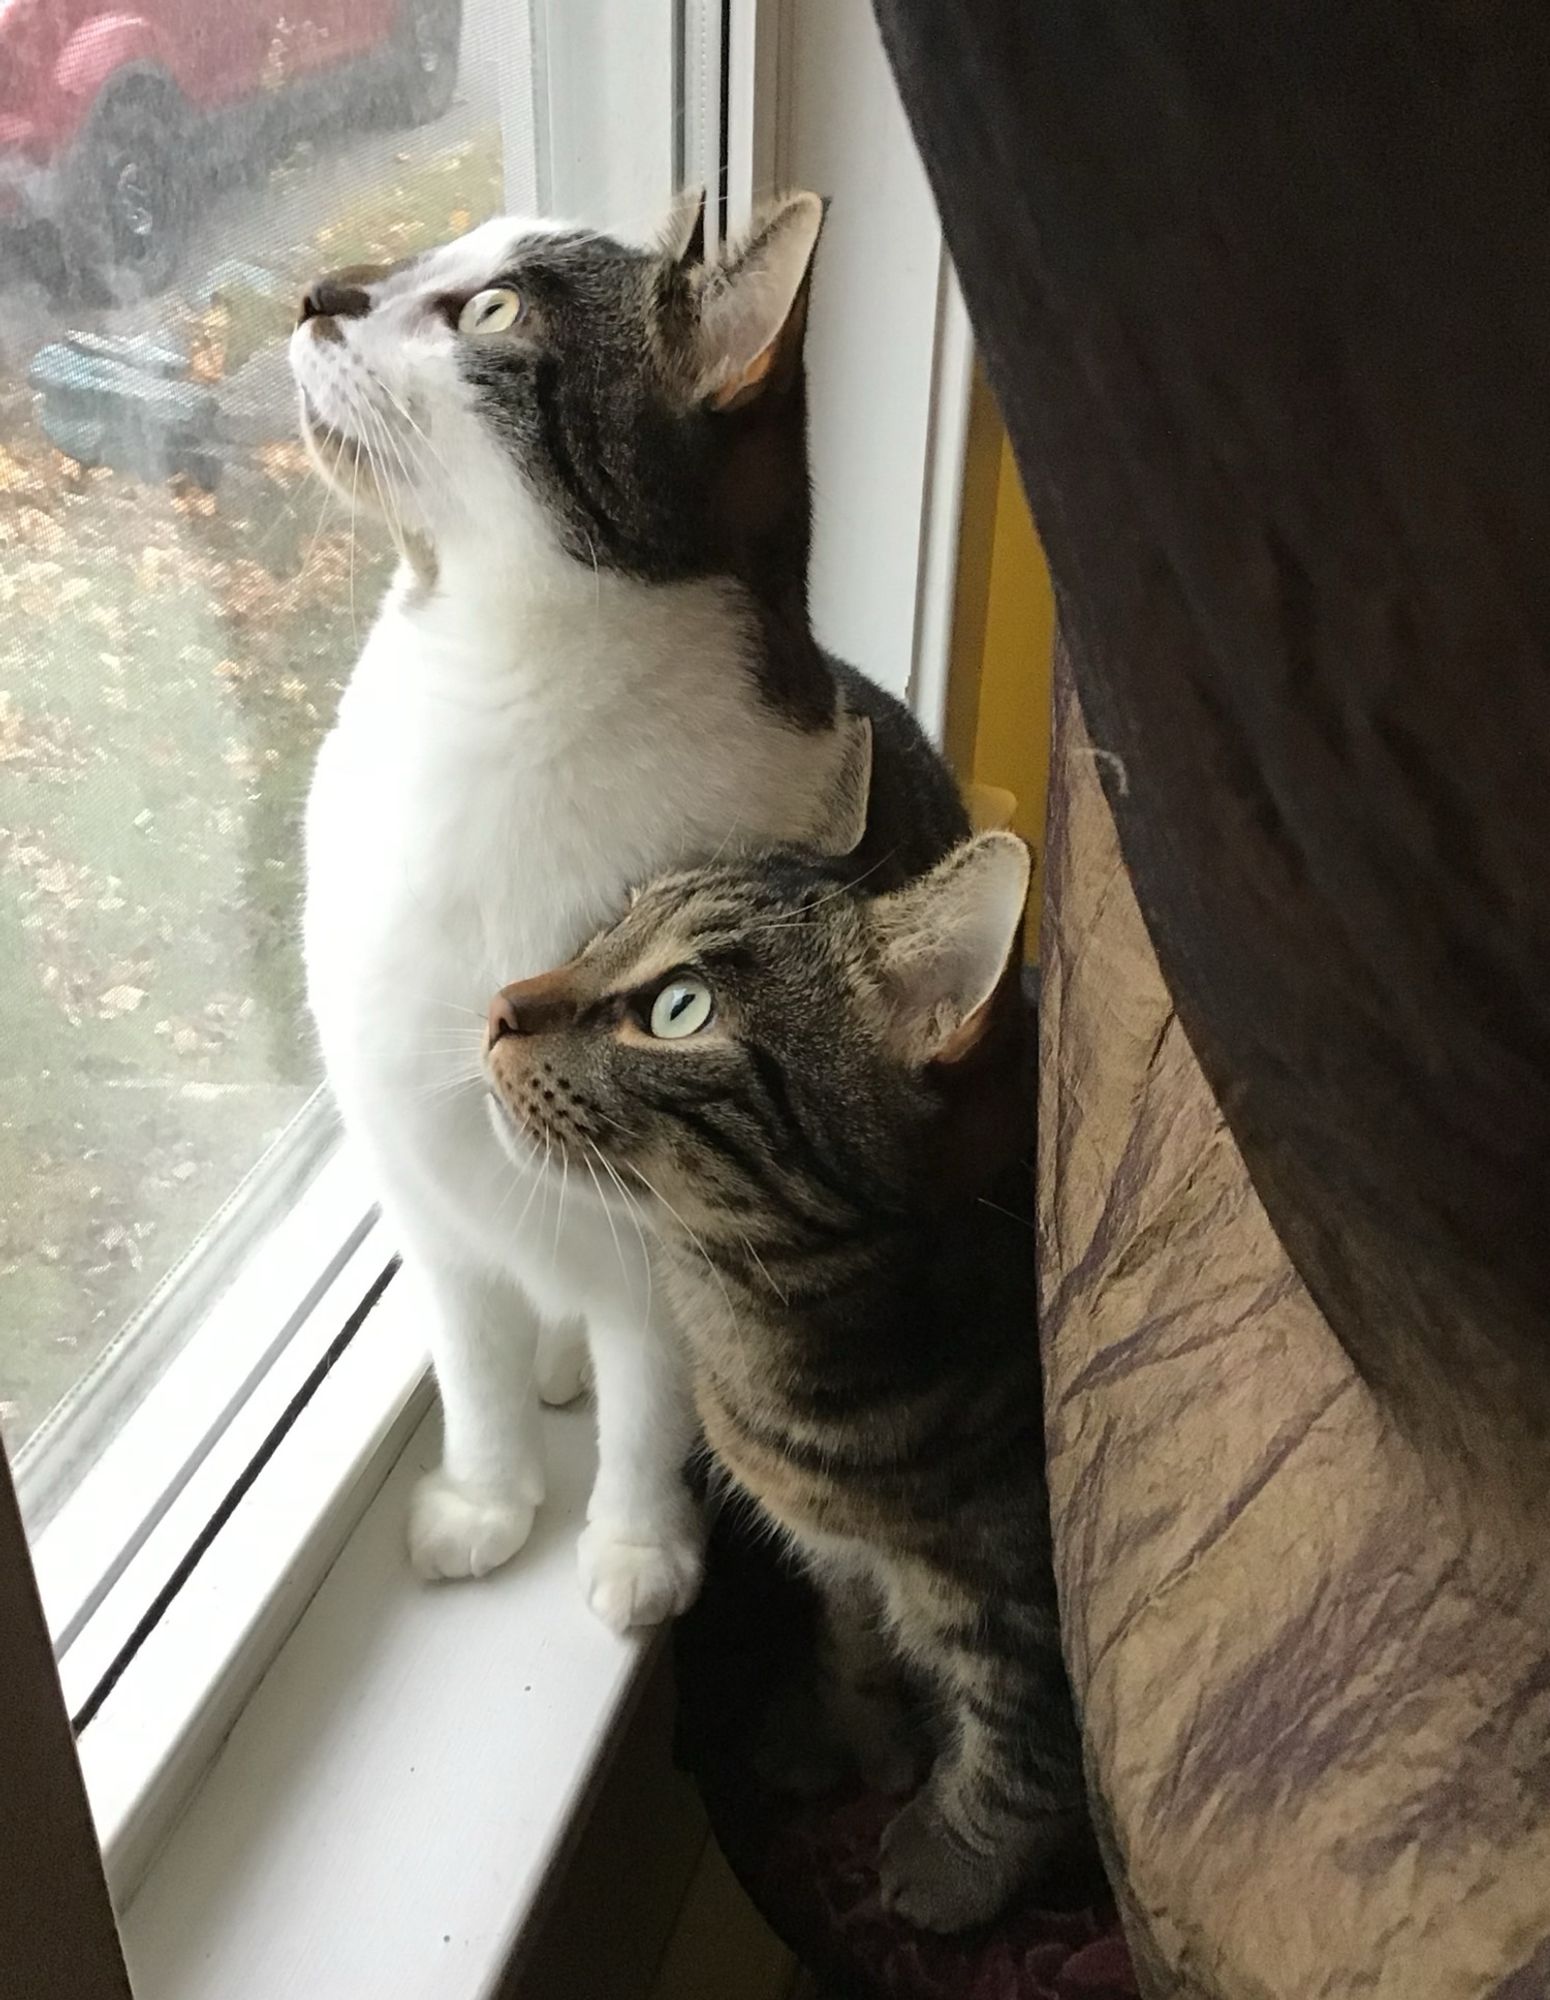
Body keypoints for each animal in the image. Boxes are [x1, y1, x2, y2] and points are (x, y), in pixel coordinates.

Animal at [290, 191, 964, 1624]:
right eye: (432, 256)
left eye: (492, 310)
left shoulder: (674, 1256)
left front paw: (636, 1540)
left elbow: (654, 1410)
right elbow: (471, 1370)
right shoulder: (428, 1206)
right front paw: (486, 1494)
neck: (490, 706)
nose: (315, 294)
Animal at [484, 804, 1088, 1928]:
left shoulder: (1025, 1596)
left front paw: (952, 1861)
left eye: (678, 1008)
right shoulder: (837, 1561)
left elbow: (1017, 1747)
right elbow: (847, 1646)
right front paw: (849, 1737)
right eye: (606, 929)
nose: (499, 1004)